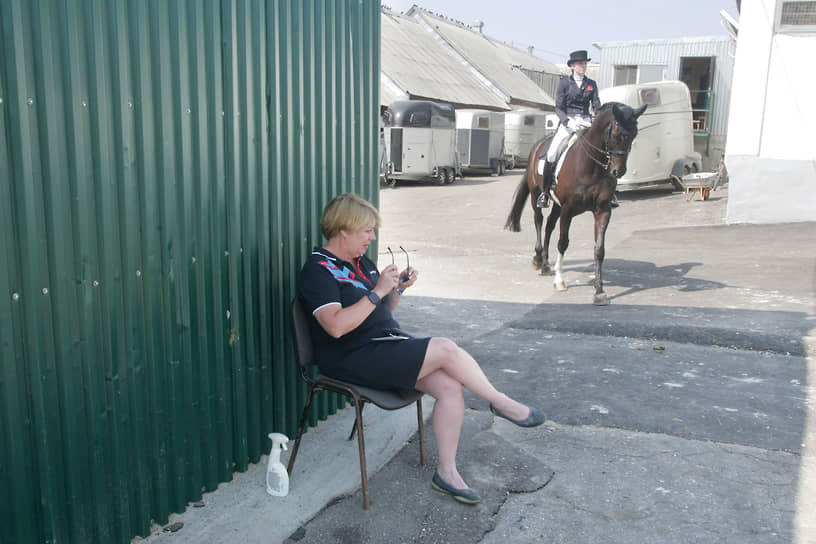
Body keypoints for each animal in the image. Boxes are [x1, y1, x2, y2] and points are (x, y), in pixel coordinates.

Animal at [500, 102, 648, 306]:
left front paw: (599, 291)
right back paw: (538, 259)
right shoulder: (568, 210)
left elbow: (599, 250)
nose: (618, 171)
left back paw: (546, 265)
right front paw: (559, 281)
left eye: (634, 134)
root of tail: (538, 145)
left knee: (549, 226)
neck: (592, 167)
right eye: (617, 134)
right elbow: (563, 243)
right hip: (537, 197)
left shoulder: (602, 210)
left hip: (557, 206)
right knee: (539, 222)